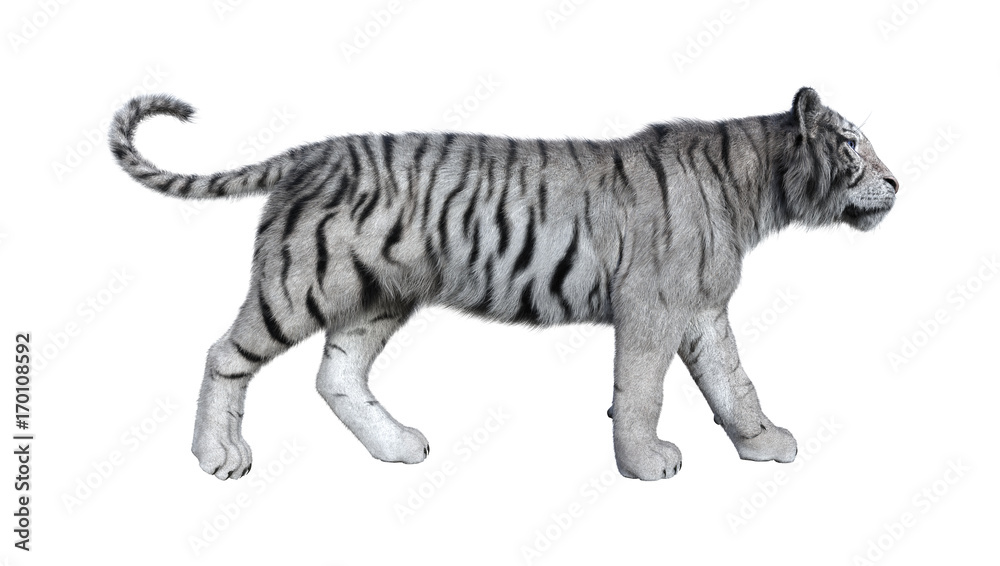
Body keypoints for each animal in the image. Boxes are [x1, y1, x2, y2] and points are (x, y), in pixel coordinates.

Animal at [109, 87, 898, 481]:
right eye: (851, 145)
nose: (896, 182)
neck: (757, 190)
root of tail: (312, 152)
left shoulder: (702, 310)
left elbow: (735, 383)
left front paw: (763, 443)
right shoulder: (654, 308)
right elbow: (641, 393)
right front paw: (645, 464)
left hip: (377, 298)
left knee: (336, 376)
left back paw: (397, 448)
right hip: (300, 284)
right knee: (224, 355)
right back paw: (216, 456)